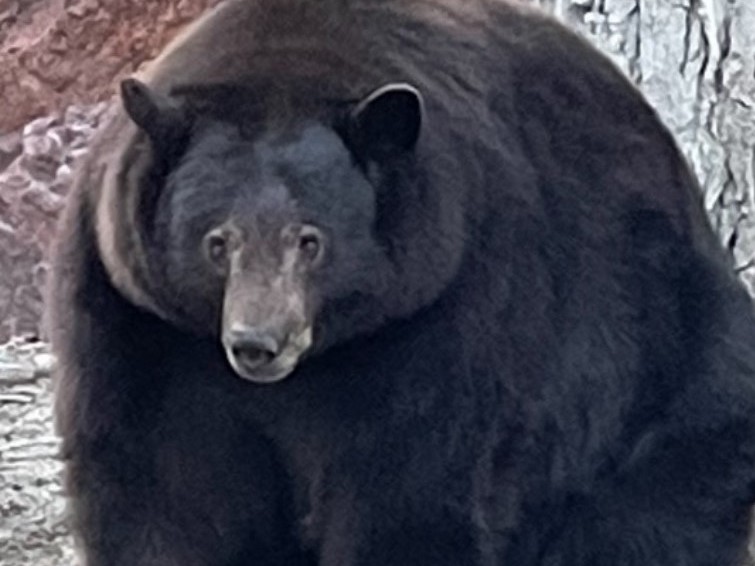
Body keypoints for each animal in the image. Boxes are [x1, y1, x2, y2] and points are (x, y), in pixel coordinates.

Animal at [47, 0, 755, 565]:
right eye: (217, 241)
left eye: (311, 240)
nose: (258, 343)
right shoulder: (140, 323)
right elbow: (162, 486)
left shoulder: (449, 303)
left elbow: (413, 485)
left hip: (661, 379)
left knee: (646, 515)